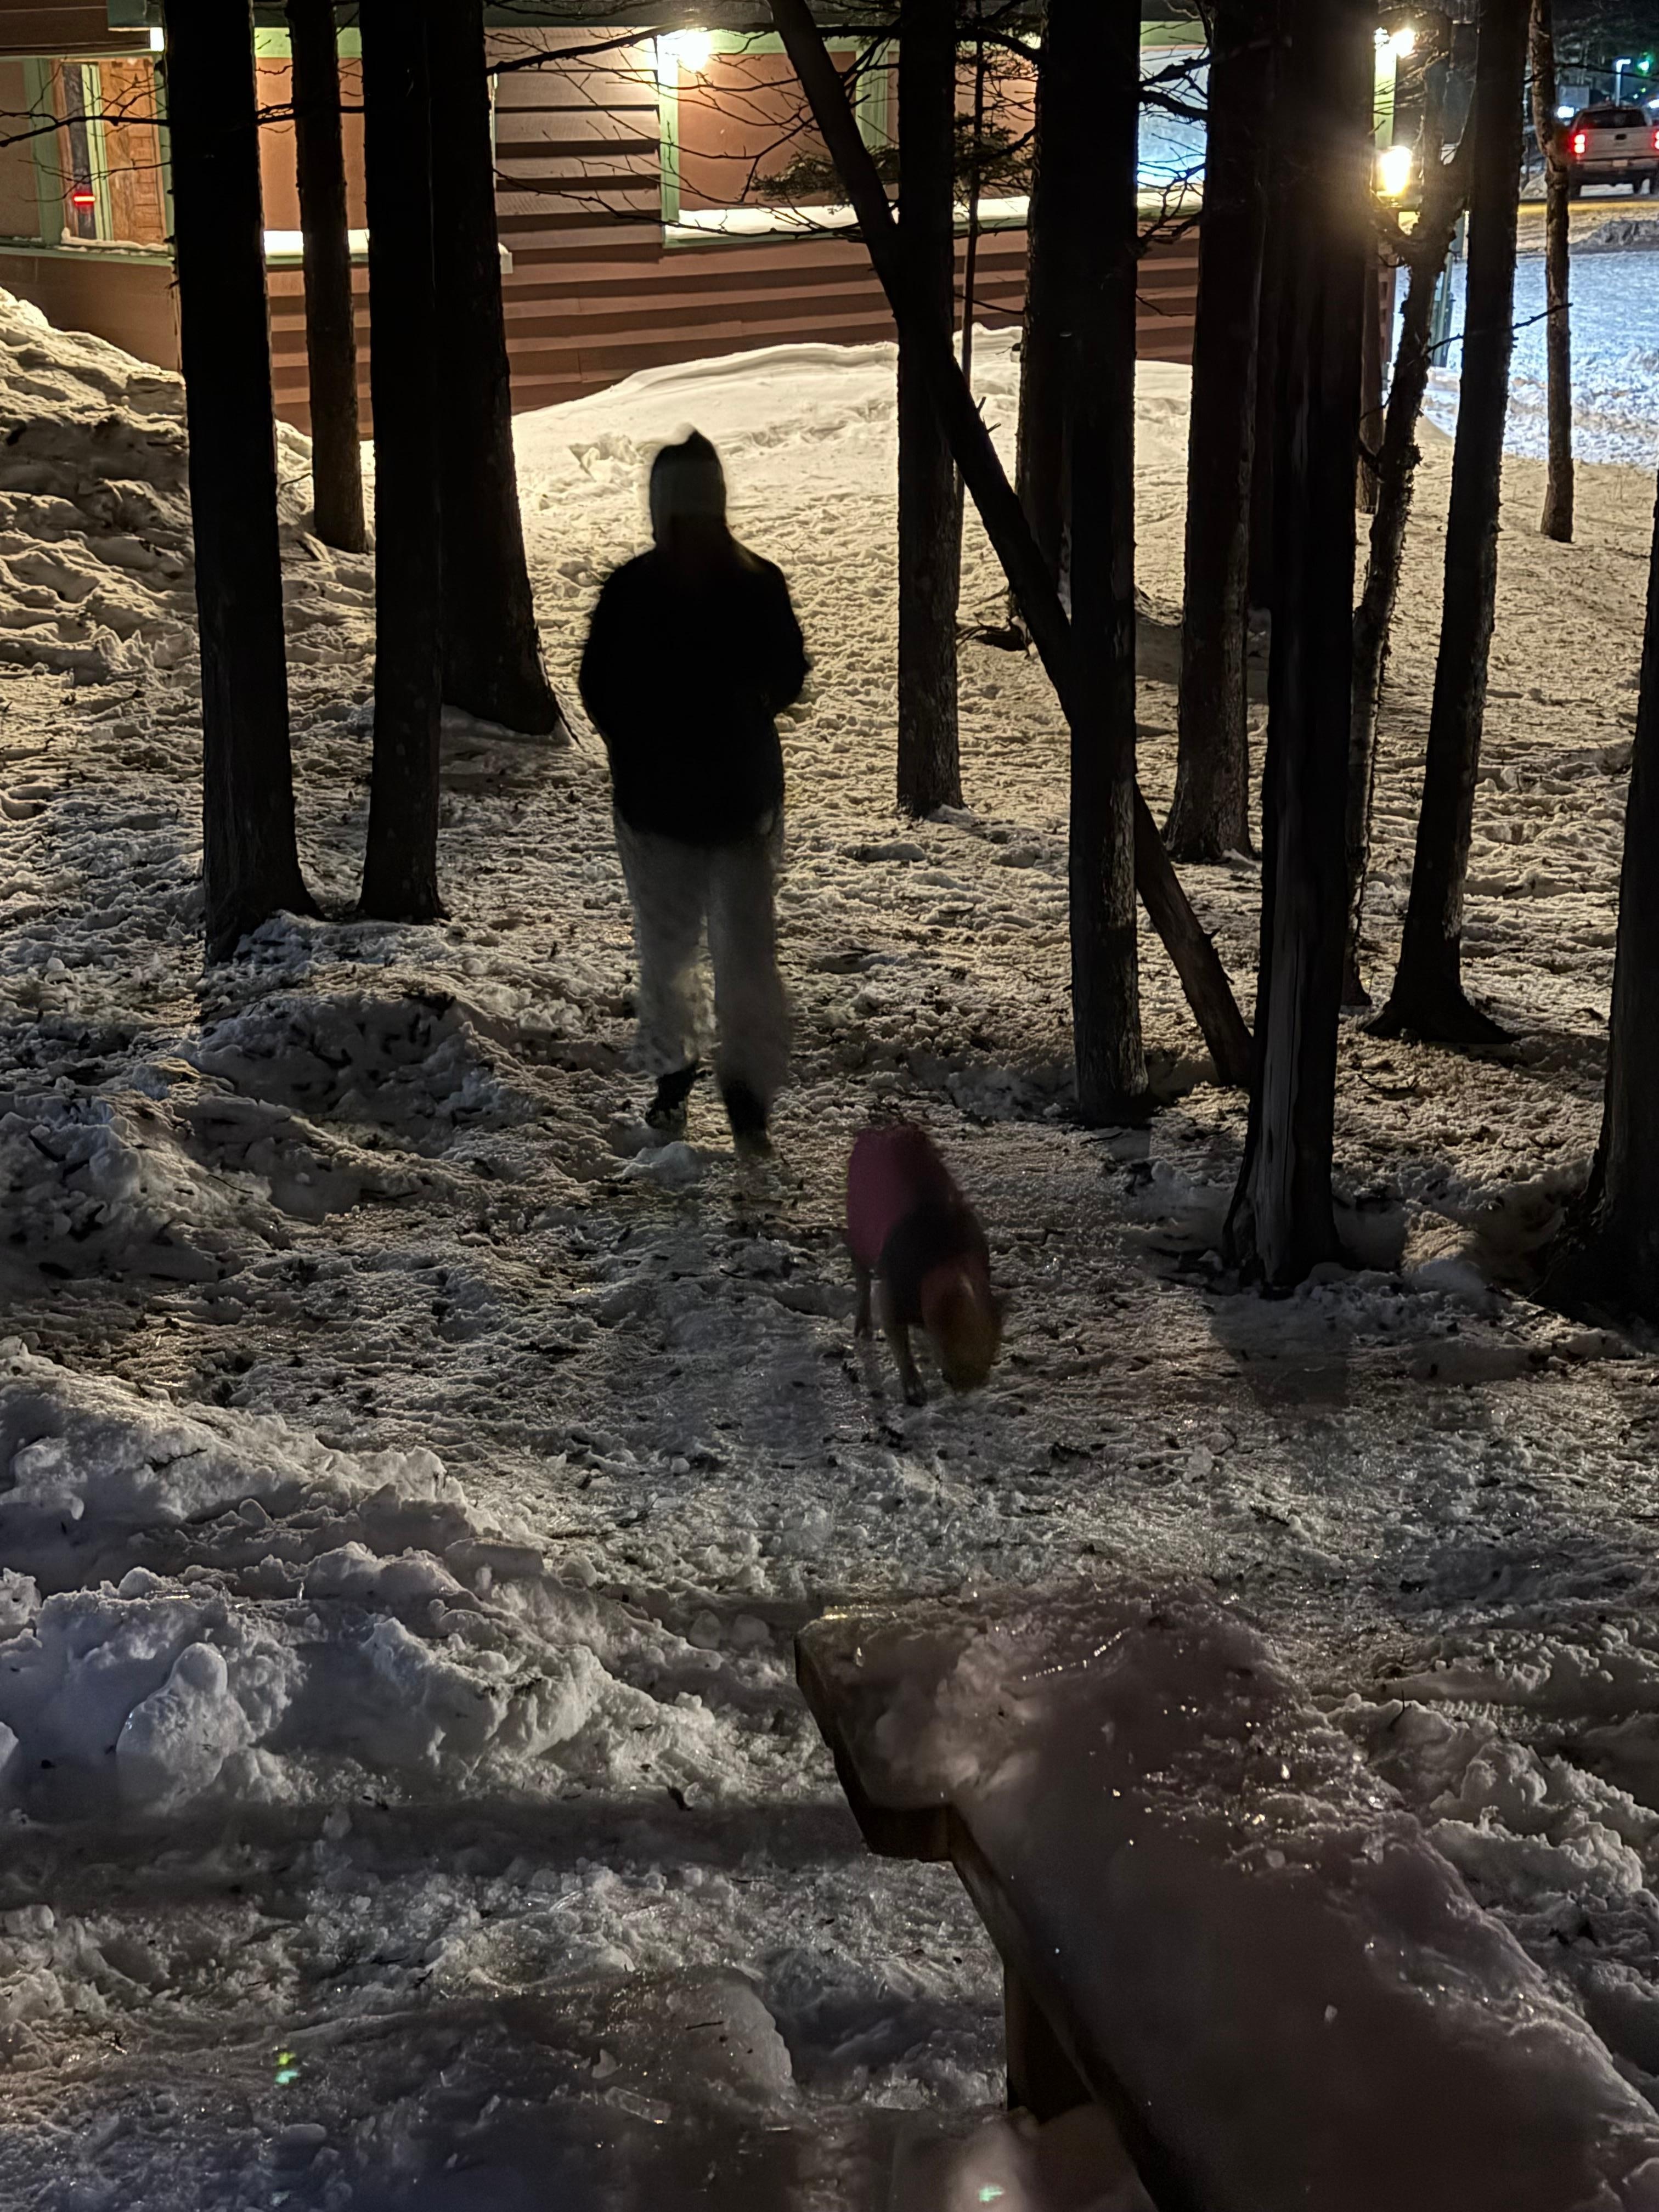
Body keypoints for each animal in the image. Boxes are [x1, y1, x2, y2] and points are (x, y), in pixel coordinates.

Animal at [846, 1123, 1003, 1405]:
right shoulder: (892, 1286)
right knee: (861, 1273)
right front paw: (915, 1391)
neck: (947, 1260)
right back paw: (862, 1329)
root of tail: (875, 1131)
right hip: (857, 1224)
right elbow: (896, 1335)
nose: (968, 1387)